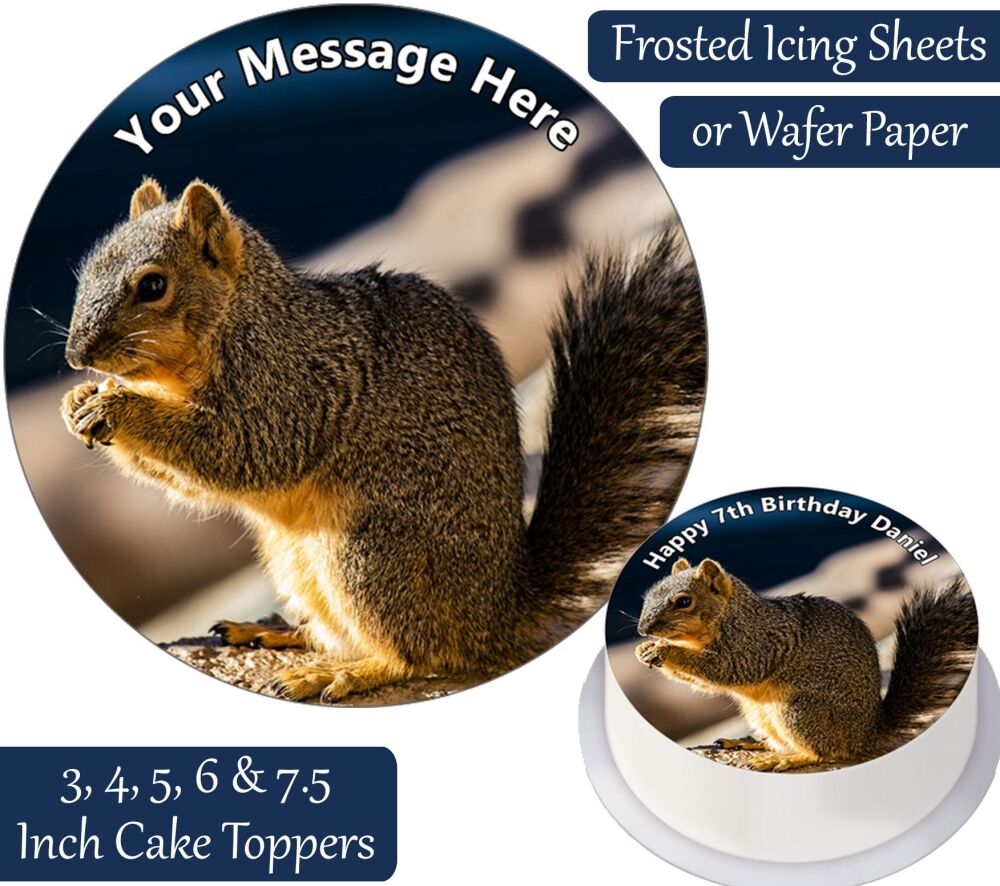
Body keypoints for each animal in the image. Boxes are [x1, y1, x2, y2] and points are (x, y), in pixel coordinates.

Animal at [60, 177, 706, 702]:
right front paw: (78, 403)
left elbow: (242, 450)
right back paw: (277, 631)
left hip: (371, 553)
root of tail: (497, 614)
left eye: (153, 285)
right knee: (341, 631)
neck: (239, 321)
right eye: (85, 271)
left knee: (416, 656)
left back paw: (342, 673)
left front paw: (117, 405)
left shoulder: (288, 389)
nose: (75, 356)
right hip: (294, 557)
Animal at [635, 557, 978, 771]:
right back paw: (755, 745)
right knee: (781, 741)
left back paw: (787, 759)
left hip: (799, 709)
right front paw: (645, 649)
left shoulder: (755, 645)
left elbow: (727, 669)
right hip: (760, 712)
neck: (731, 615)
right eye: (648, 594)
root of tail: (867, 733)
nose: (643, 629)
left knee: (823, 752)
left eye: (684, 601)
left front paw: (666, 651)